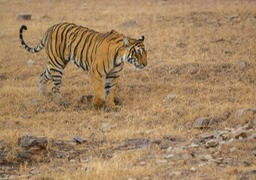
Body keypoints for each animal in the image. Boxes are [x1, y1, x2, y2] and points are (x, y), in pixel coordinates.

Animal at [19, 22, 148, 109]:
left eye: (145, 53)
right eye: (138, 53)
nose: (145, 64)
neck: (120, 57)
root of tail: (50, 28)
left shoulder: (113, 75)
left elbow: (110, 92)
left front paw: (112, 106)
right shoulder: (95, 72)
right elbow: (100, 92)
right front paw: (97, 105)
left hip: (56, 63)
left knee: (42, 76)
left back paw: (43, 94)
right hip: (57, 64)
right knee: (55, 87)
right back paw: (60, 102)